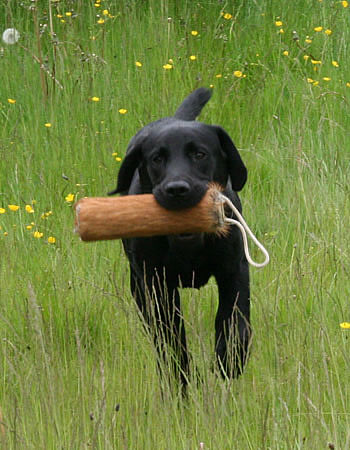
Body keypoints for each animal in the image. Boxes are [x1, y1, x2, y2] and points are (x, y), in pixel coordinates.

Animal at [110, 89, 250, 384]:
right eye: (156, 158)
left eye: (200, 154)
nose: (177, 189)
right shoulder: (157, 287)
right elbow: (172, 341)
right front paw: (181, 377)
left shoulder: (234, 269)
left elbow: (236, 322)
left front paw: (229, 360)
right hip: (138, 287)